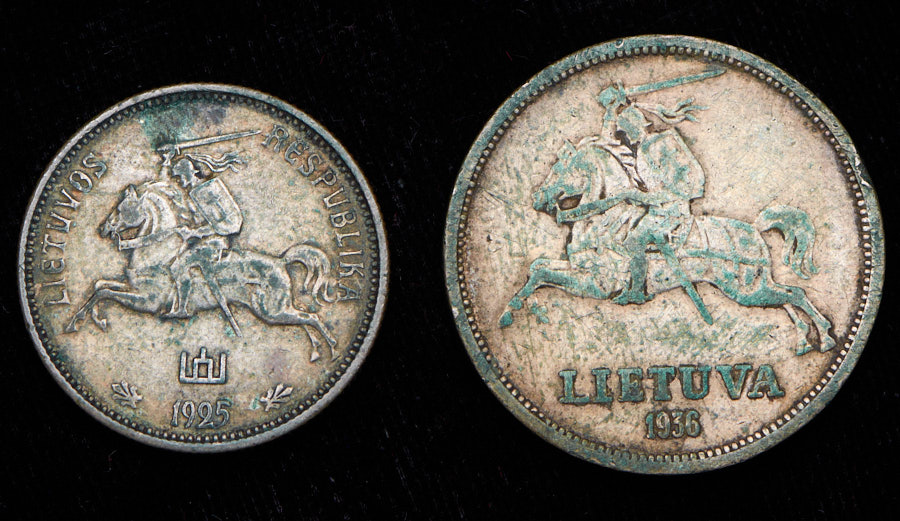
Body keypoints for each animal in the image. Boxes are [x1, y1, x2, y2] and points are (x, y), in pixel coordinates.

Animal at [65, 181, 340, 362]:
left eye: (121, 209)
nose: (103, 229)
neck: (157, 253)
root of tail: (281, 262)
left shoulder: (146, 300)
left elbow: (105, 293)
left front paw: (78, 321)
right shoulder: (134, 288)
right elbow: (100, 286)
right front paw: (92, 319)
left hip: (271, 310)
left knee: (311, 317)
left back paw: (333, 349)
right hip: (275, 310)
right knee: (304, 318)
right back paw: (316, 351)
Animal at [498, 139, 836, 356]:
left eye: (559, 169)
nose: (537, 199)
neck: (604, 219)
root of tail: (754, 228)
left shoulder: (597, 284)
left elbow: (542, 274)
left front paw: (508, 313)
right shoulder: (580, 270)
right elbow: (538, 267)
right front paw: (513, 311)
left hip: (745, 290)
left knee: (794, 295)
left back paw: (825, 338)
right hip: (756, 286)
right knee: (789, 296)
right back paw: (804, 342)